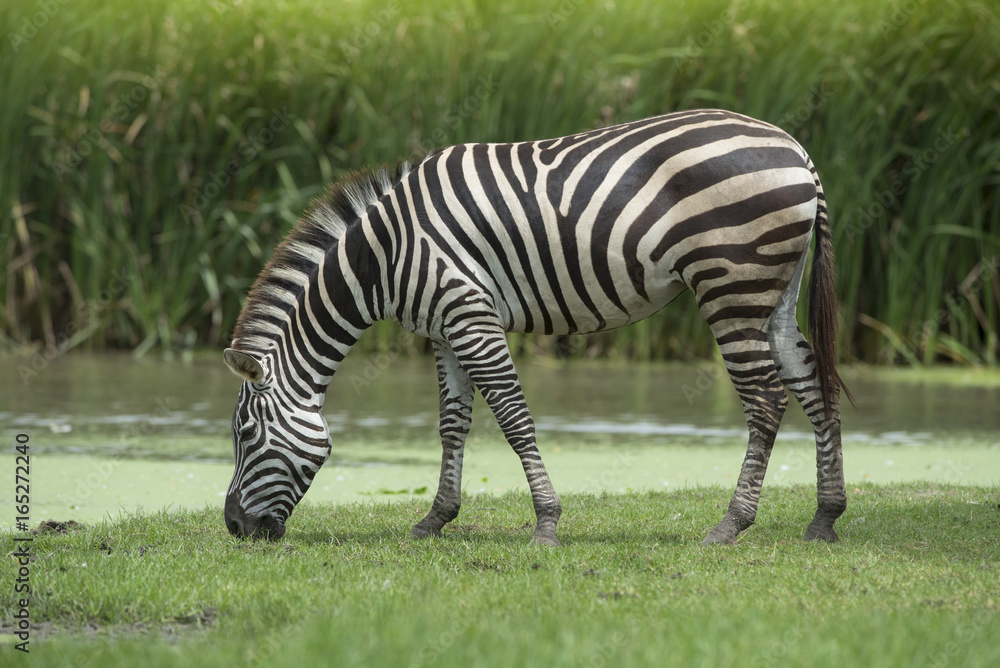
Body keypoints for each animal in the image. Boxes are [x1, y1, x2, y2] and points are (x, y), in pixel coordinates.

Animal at [225, 109, 852, 544]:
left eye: (247, 435)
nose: (233, 527)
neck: (383, 257)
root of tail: (796, 149)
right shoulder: (444, 328)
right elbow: (452, 425)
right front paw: (435, 519)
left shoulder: (470, 314)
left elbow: (512, 418)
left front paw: (546, 523)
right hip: (774, 291)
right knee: (811, 381)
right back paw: (825, 517)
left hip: (732, 284)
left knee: (767, 399)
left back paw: (731, 524)